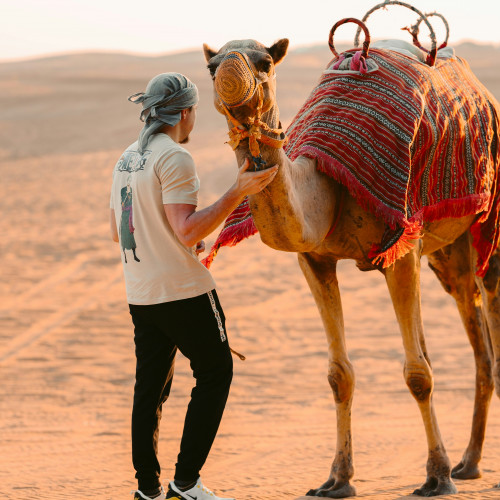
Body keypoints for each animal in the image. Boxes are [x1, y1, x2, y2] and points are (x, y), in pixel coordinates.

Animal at [203, 31, 500, 496]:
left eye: (265, 62)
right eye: (211, 67)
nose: (230, 76)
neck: (326, 189)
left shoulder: (401, 248)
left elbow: (418, 374)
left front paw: (436, 477)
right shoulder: (315, 259)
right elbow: (339, 375)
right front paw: (337, 479)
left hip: (487, 221)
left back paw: (460, 467)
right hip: (448, 251)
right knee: (471, 322)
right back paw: (468, 463)